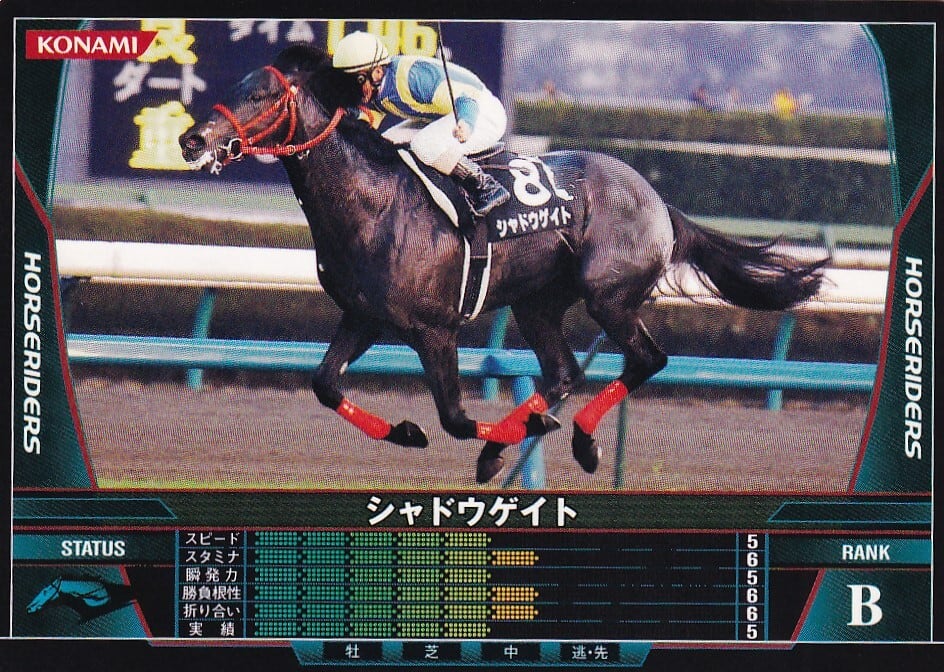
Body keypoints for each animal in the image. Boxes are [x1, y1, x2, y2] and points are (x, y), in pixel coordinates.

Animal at [180, 44, 827, 484]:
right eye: (237, 85)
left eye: (261, 95)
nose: (191, 140)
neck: (374, 203)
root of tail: (654, 195)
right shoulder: (364, 318)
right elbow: (324, 384)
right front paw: (409, 432)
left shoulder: (433, 330)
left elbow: (454, 415)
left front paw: (483, 434)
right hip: (537, 302)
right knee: (564, 371)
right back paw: (517, 439)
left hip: (608, 294)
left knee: (646, 358)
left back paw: (581, 441)